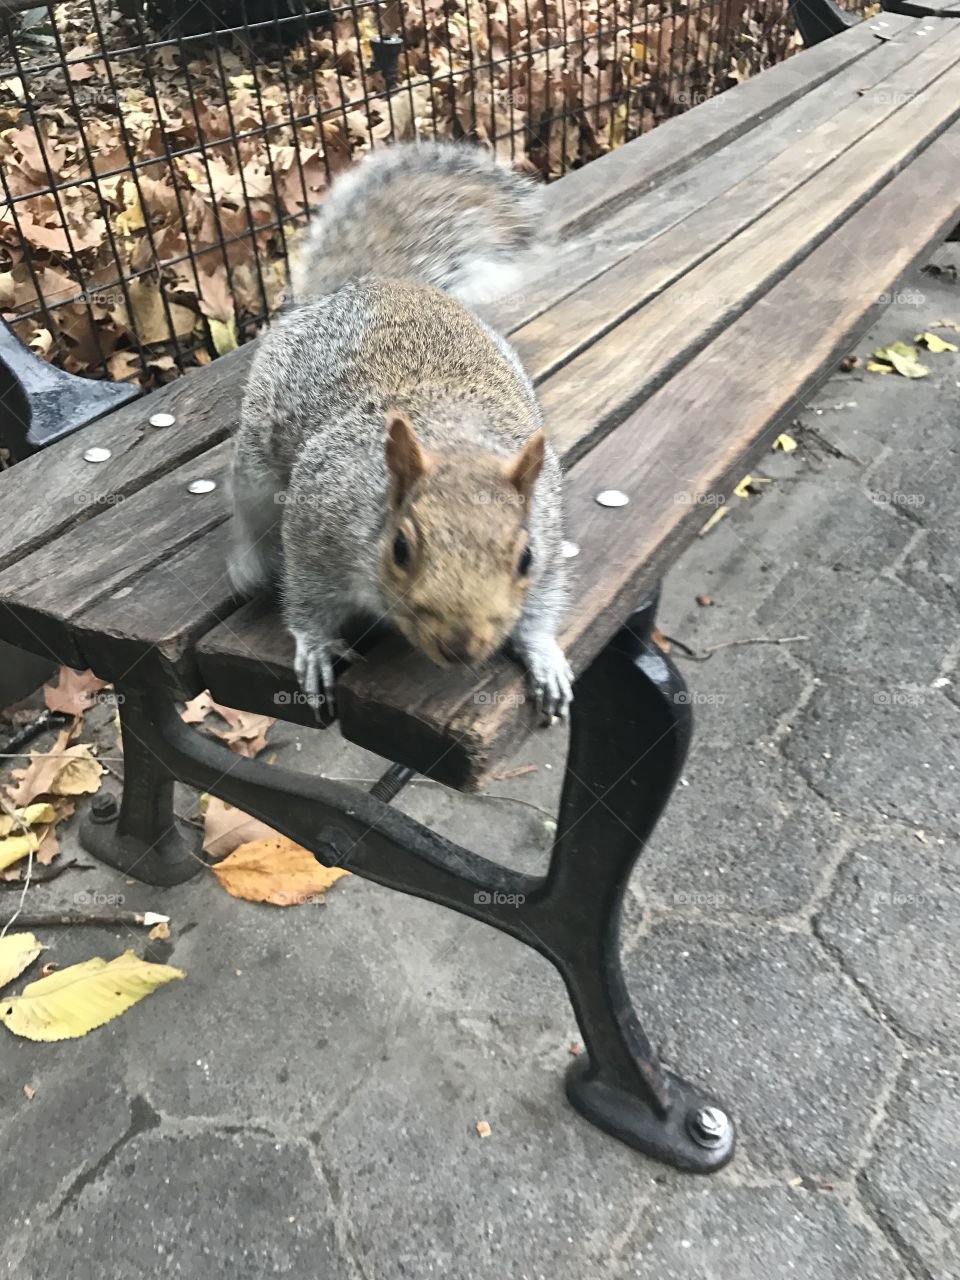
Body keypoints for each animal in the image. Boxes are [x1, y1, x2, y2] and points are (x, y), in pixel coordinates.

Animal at [227, 142, 570, 721]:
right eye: (401, 549)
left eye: (525, 558)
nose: (461, 645)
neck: (452, 441)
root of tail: (376, 282)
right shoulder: (317, 520)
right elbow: (307, 596)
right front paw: (315, 647)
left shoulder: (544, 523)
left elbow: (543, 602)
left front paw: (545, 655)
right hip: (256, 457)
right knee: (250, 511)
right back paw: (248, 560)